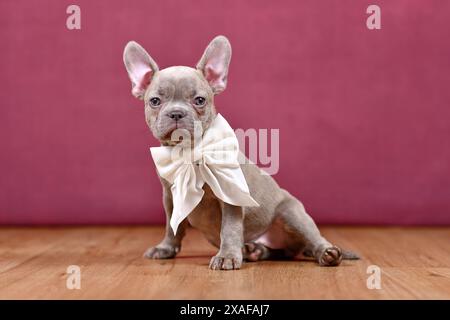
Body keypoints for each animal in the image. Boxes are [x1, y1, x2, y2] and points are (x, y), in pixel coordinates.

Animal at [123, 35, 358, 270]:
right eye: (155, 101)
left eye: (199, 100)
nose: (176, 113)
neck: (190, 152)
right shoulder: (170, 197)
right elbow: (172, 225)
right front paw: (166, 248)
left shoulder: (230, 197)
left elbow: (230, 227)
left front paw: (226, 256)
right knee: (280, 252)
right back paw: (255, 250)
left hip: (292, 213)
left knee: (314, 239)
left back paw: (327, 253)